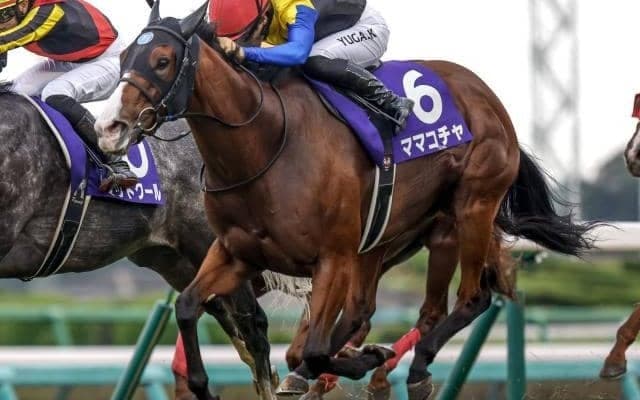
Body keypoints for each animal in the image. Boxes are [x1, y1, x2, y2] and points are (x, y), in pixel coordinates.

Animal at [94, 3, 598, 399]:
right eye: (125, 56)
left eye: (162, 60)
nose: (110, 127)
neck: (265, 146)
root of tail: (484, 94)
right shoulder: (236, 252)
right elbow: (187, 306)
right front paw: (205, 384)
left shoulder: (331, 258)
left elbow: (315, 350)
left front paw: (360, 360)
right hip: (394, 236)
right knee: (371, 311)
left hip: (471, 206)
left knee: (472, 297)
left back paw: (414, 365)